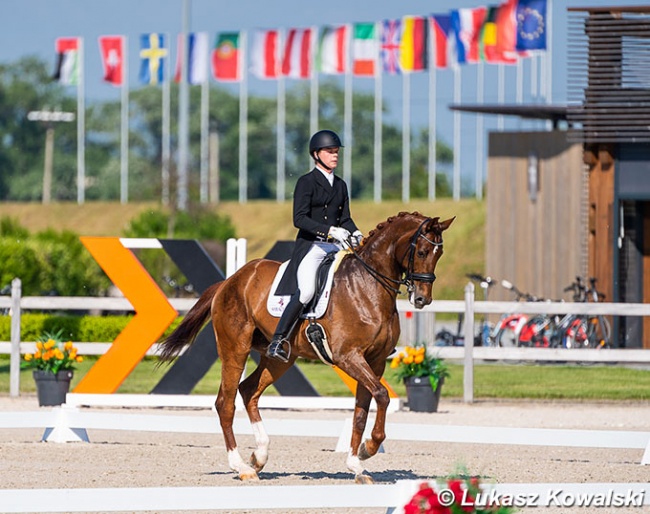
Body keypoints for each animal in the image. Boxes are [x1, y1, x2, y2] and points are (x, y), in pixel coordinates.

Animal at [158, 210, 450, 482]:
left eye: (440, 253)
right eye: (422, 251)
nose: (422, 299)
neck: (367, 287)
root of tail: (230, 281)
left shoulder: (374, 361)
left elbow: (362, 409)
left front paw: (357, 464)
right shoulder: (349, 357)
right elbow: (381, 395)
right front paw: (368, 448)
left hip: (281, 359)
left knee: (249, 390)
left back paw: (259, 456)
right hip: (235, 350)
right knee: (225, 403)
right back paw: (241, 467)